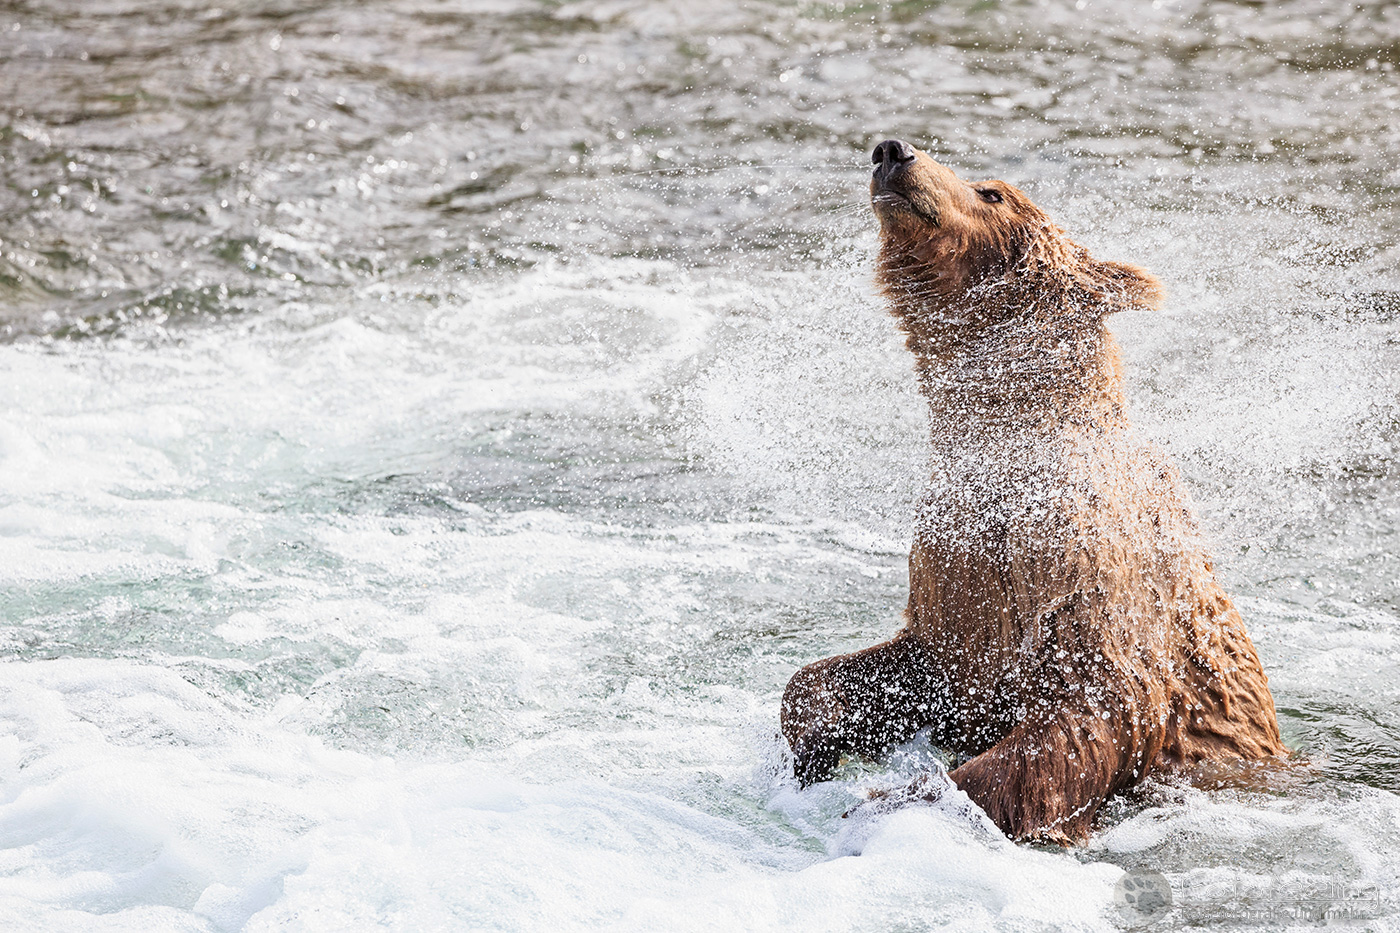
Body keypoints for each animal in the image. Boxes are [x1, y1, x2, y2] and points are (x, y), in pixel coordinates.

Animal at [779, 139, 1287, 844]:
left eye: (993, 193)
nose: (893, 151)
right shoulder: (961, 582)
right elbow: (897, 669)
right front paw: (810, 749)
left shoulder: (1086, 584)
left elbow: (1078, 725)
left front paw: (896, 801)